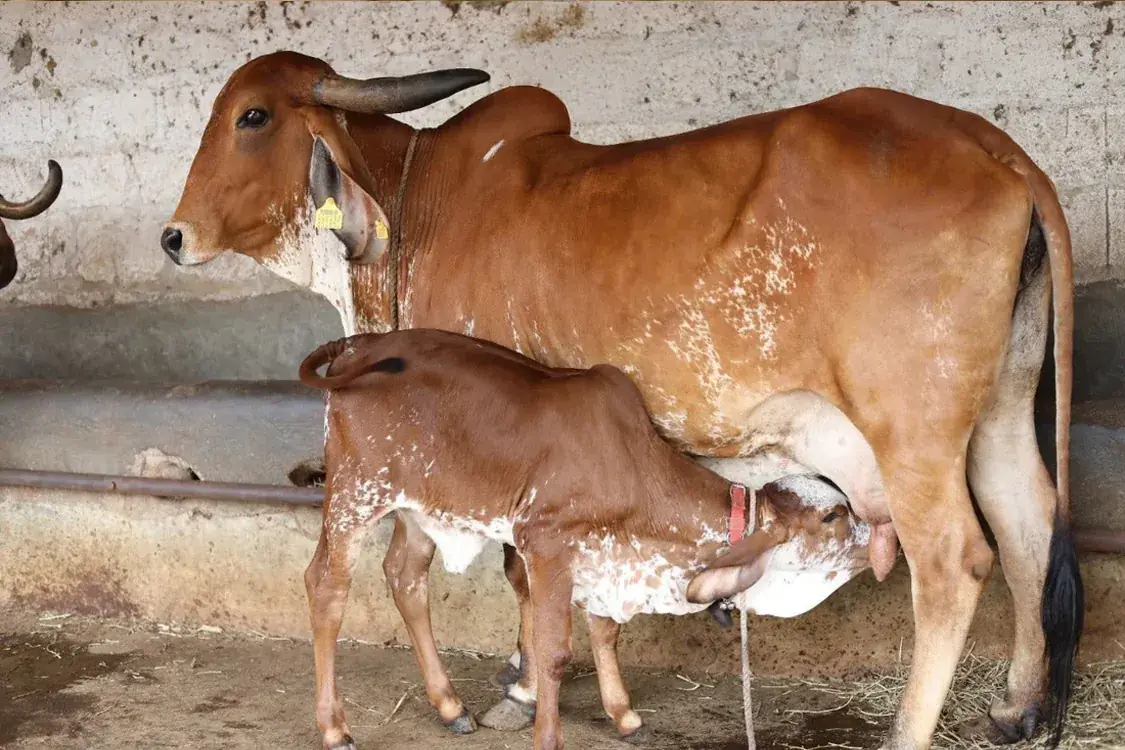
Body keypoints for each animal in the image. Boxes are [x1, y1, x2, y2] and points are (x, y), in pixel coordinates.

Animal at [297, 328, 872, 750]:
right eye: (833, 515)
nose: (875, 533)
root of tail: (360, 342)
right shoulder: (546, 543)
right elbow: (553, 652)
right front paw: (547, 734)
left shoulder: (606, 557)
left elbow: (605, 632)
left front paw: (624, 714)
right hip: (355, 492)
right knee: (326, 586)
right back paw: (335, 728)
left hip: (417, 509)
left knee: (405, 578)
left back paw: (449, 705)